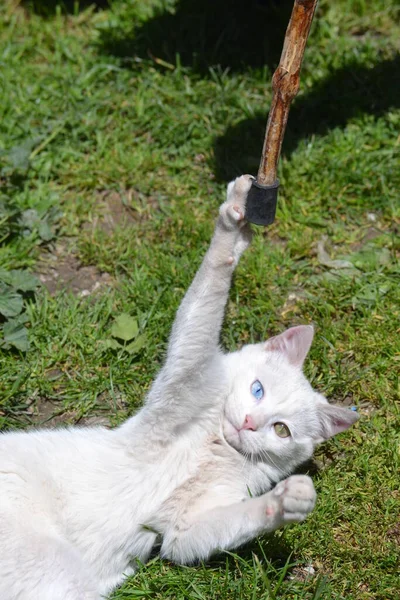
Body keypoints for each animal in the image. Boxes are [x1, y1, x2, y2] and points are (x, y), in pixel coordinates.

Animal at [0, 175, 358, 600]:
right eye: (257, 390)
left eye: (281, 430)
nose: (250, 423)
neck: (215, 443)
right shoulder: (190, 367)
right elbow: (208, 294)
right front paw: (235, 221)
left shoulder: (183, 530)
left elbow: (218, 528)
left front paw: (288, 501)